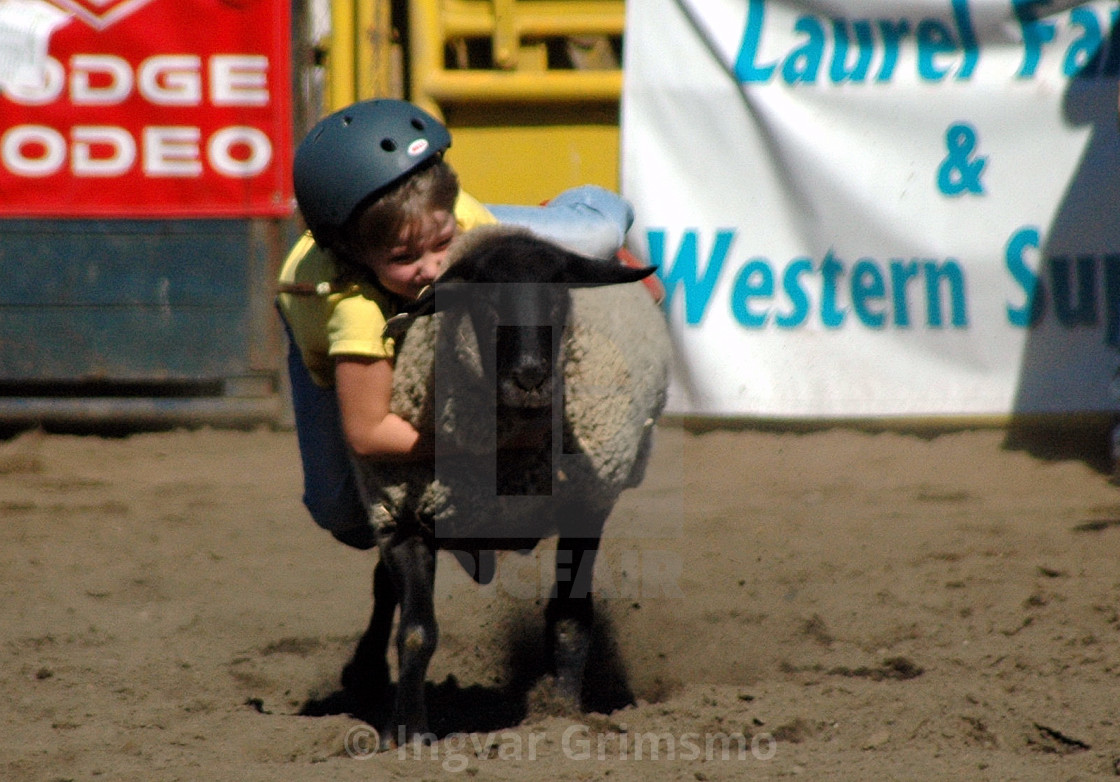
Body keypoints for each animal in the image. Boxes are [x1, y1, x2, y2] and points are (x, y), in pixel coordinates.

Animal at [344, 224, 667, 743]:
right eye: (485, 299)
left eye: (559, 297)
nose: (531, 377)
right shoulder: (409, 516)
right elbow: (415, 631)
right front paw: (407, 730)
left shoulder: (585, 509)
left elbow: (571, 620)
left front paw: (562, 713)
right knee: (385, 591)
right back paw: (364, 675)